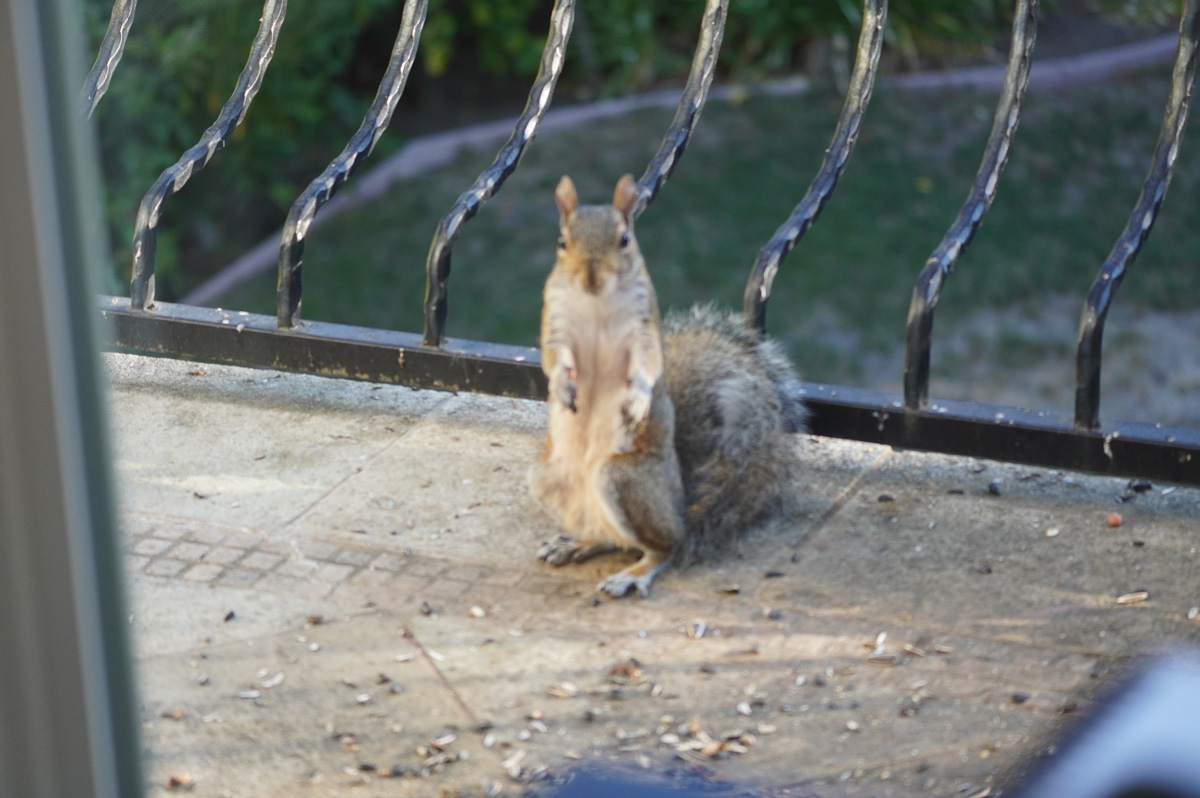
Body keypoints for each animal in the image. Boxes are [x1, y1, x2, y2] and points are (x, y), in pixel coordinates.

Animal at [528, 174, 808, 598]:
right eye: (562, 242)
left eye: (624, 239)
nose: (591, 277)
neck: (595, 302)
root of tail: (680, 513)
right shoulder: (555, 320)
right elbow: (553, 357)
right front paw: (562, 387)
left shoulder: (644, 326)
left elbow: (647, 362)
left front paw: (637, 401)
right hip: (547, 479)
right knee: (610, 537)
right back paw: (578, 542)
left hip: (626, 481)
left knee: (663, 548)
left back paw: (634, 572)